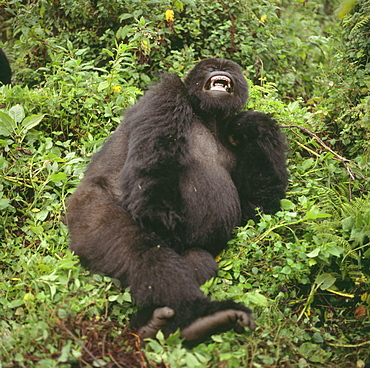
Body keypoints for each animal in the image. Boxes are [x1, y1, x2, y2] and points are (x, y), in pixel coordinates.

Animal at [66, 56, 290, 342]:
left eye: (229, 69)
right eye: (209, 67)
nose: (221, 71)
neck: (207, 116)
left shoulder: (233, 134)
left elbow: (257, 208)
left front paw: (258, 125)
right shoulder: (167, 94)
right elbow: (154, 171)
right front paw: (165, 232)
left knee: (198, 260)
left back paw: (157, 322)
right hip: (88, 214)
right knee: (140, 250)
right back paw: (199, 315)